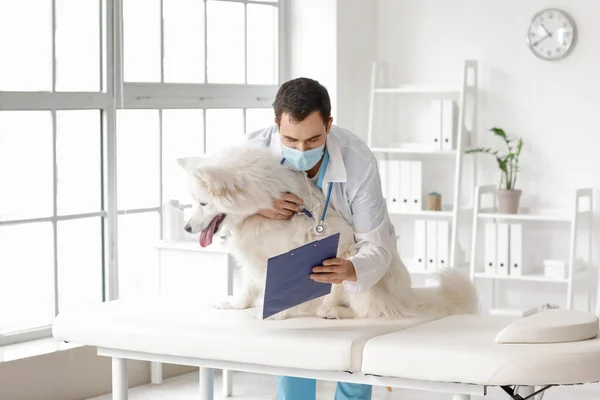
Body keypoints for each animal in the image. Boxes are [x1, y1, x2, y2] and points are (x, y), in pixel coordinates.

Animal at [178, 145, 478, 320]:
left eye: (203, 203)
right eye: (194, 201)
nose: (187, 228)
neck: (259, 204)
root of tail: (408, 299)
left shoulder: (277, 257)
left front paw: (276, 312)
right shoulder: (255, 257)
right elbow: (249, 286)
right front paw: (237, 305)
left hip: (348, 264)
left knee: (365, 309)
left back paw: (330, 311)